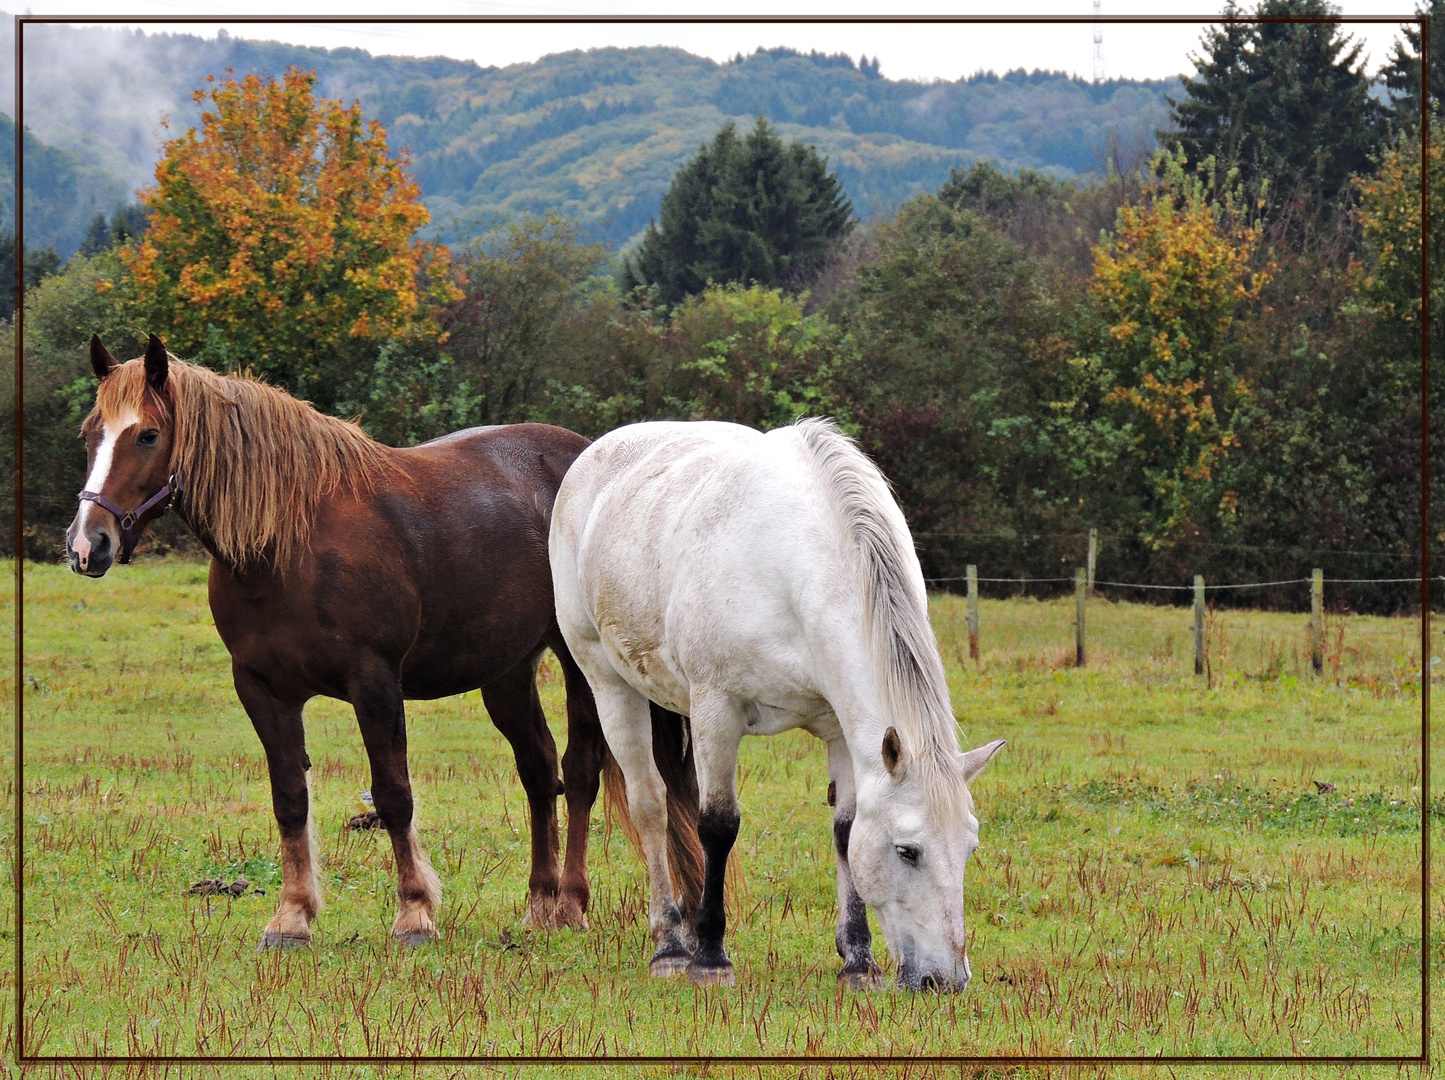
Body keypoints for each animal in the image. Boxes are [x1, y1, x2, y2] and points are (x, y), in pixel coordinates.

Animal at [65, 333, 702, 948]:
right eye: (91, 433)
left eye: (148, 435)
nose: (87, 545)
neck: (289, 545)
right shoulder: (262, 689)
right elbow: (289, 798)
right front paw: (291, 918)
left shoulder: (373, 682)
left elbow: (394, 794)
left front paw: (414, 914)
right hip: (507, 671)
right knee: (540, 770)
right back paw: (539, 906)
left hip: (581, 662)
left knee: (581, 770)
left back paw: (570, 905)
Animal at [551, 419, 1005, 994]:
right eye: (908, 851)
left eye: (969, 848)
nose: (944, 981)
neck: (797, 563)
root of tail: (595, 454)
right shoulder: (717, 708)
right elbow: (718, 825)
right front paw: (712, 959)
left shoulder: (840, 728)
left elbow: (844, 830)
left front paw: (858, 961)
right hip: (608, 682)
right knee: (651, 805)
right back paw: (672, 945)